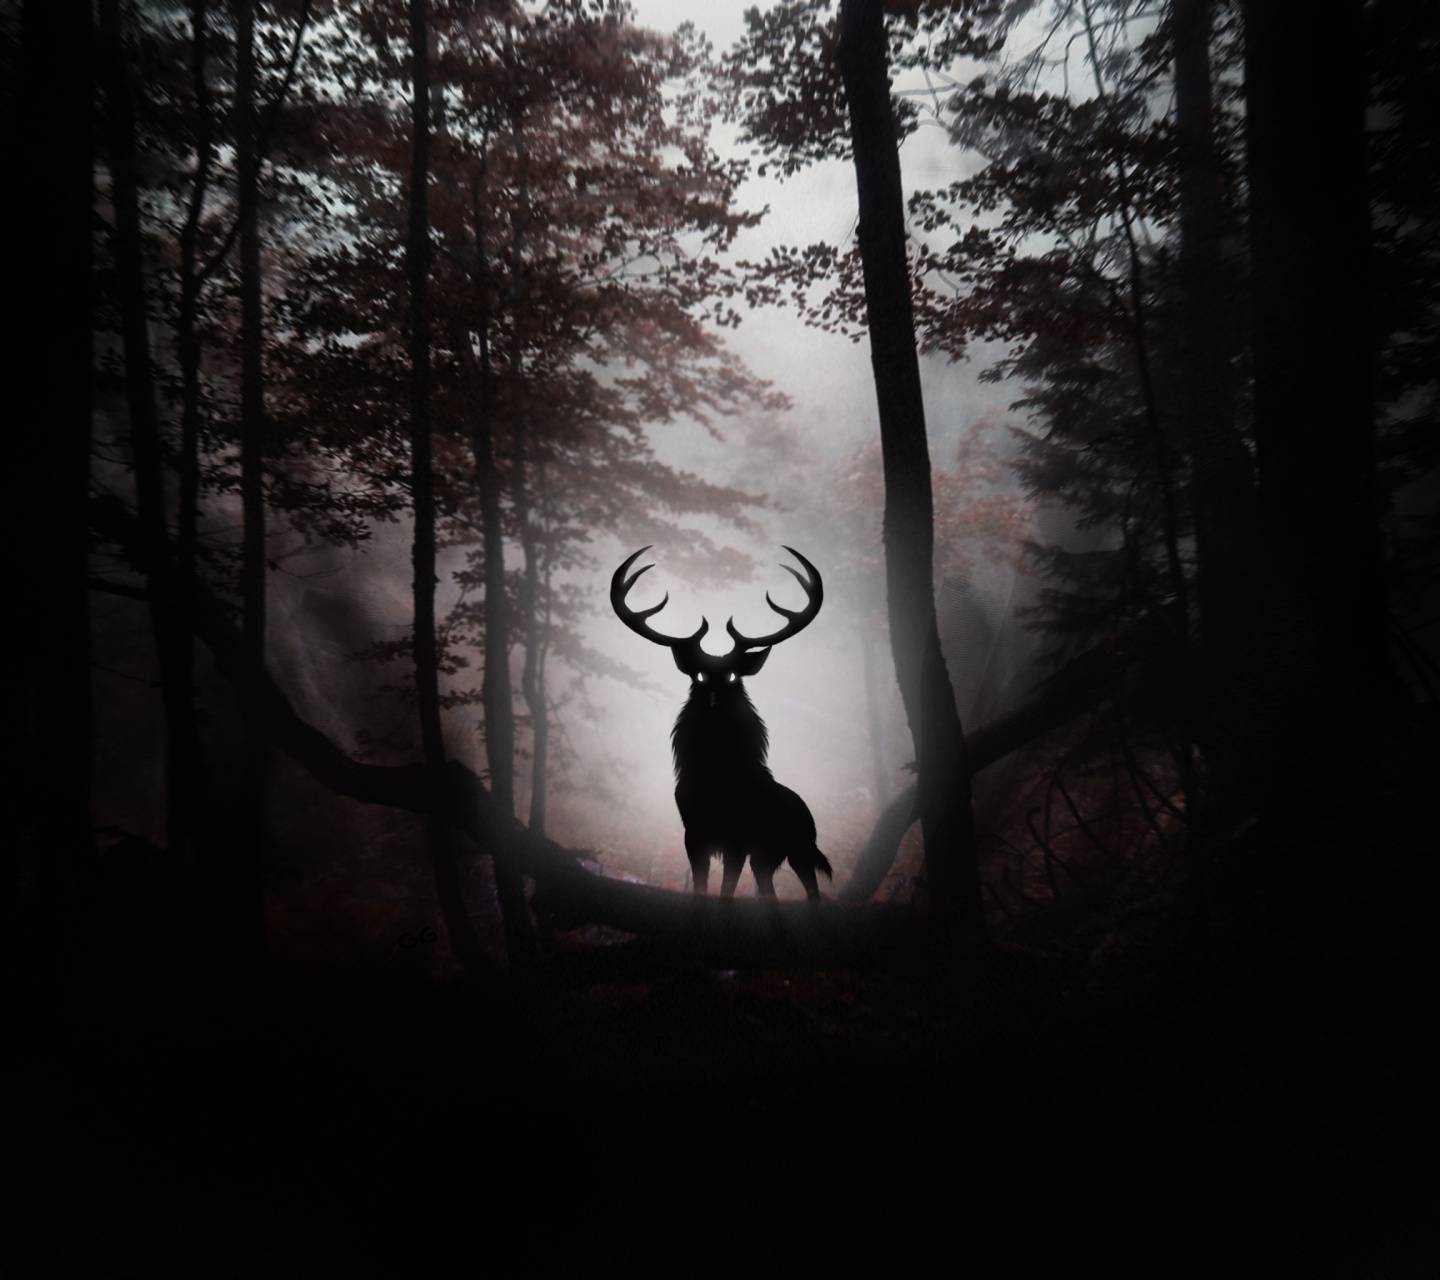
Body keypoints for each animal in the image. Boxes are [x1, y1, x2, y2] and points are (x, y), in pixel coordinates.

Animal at [611, 545, 834, 901]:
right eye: (699, 676)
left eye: (732, 676)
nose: (714, 700)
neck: (716, 777)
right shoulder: (693, 833)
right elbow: (701, 887)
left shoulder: (738, 840)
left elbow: (727, 892)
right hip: (767, 858)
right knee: (769, 890)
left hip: (799, 849)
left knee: (812, 892)